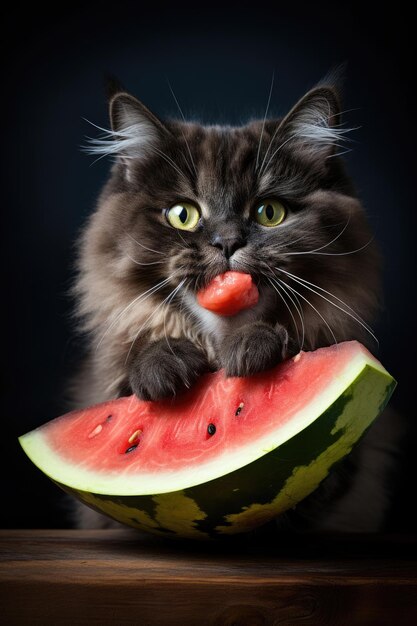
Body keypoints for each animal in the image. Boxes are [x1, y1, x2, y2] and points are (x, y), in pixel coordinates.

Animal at [71, 75, 404, 528]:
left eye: (269, 212)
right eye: (182, 215)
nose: (227, 242)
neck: (219, 345)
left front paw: (255, 349)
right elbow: (142, 358)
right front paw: (163, 369)